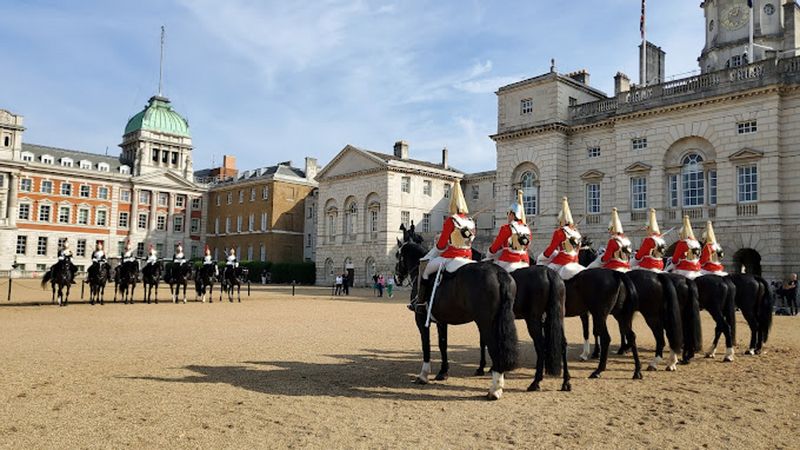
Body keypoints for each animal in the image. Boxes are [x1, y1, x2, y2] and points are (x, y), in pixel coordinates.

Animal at [394, 239, 520, 400]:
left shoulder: (421, 320)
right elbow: (442, 344)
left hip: (486, 324)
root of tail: (499, 272)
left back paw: (494, 390)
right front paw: (443, 372)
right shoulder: (442, 321)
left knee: (494, 348)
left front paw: (423, 375)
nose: (396, 278)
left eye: (398, 255)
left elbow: (426, 346)